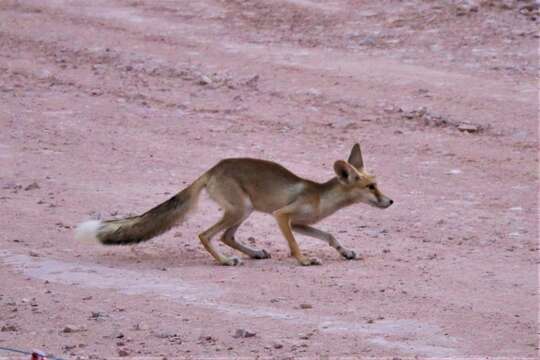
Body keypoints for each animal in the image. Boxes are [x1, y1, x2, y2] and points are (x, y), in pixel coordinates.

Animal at [75, 143, 392, 264]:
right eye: (370, 187)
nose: (390, 200)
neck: (320, 198)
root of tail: (213, 168)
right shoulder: (282, 215)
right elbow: (294, 245)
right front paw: (303, 261)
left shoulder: (300, 223)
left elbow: (329, 236)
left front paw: (345, 252)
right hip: (241, 209)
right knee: (206, 235)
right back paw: (226, 261)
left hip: (243, 212)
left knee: (226, 236)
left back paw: (253, 253)